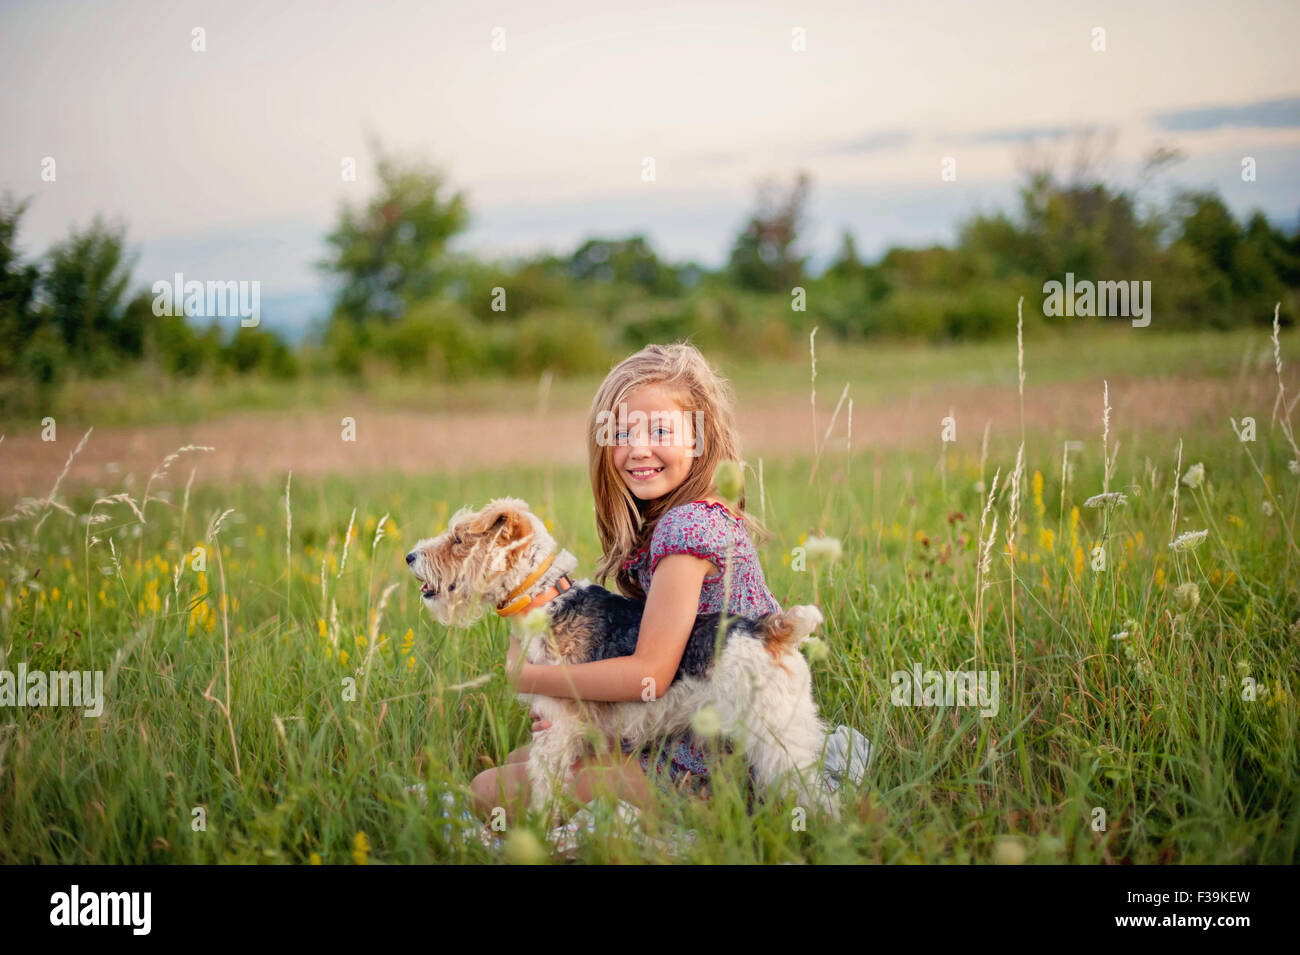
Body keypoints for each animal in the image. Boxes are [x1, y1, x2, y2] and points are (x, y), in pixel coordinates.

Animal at [400, 501, 837, 821]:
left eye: (459, 538)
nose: (409, 556)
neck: (545, 600)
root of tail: (773, 629)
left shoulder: (555, 727)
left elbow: (545, 787)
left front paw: (542, 828)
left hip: (776, 738)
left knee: (815, 794)